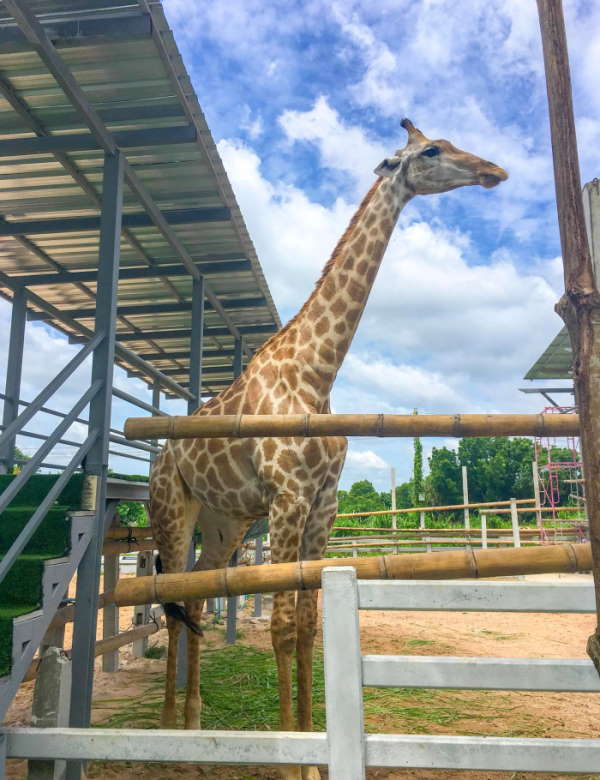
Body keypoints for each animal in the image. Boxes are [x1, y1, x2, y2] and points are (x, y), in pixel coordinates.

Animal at [150, 119, 506, 776]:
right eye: (430, 150)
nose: (494, 170)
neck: (316, 374)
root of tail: (160, 456)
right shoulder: (288, 498)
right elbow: (283, 624)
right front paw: (294, 760)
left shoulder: (323, 504)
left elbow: (311, 624)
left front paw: (314, 748)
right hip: (172, 510)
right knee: (170, 598)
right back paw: (165, 733)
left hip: (224, 523)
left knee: (199, 596)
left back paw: (193, 722)